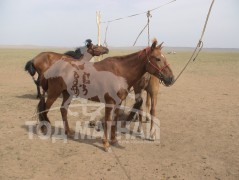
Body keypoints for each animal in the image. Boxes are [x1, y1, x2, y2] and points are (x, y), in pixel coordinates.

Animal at [36, 39, 173, 152]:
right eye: (157, 58)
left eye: (164, 58)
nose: (171, 78)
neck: (120, 72)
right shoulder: (109, 102)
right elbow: (107, 121)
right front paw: (106, 144)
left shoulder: (118, 103)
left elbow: (114, 120)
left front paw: (114, 140)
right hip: (54, 93)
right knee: (44, 108)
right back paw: (44, 128)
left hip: (67, 94)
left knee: (63, 110)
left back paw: (68, 132)